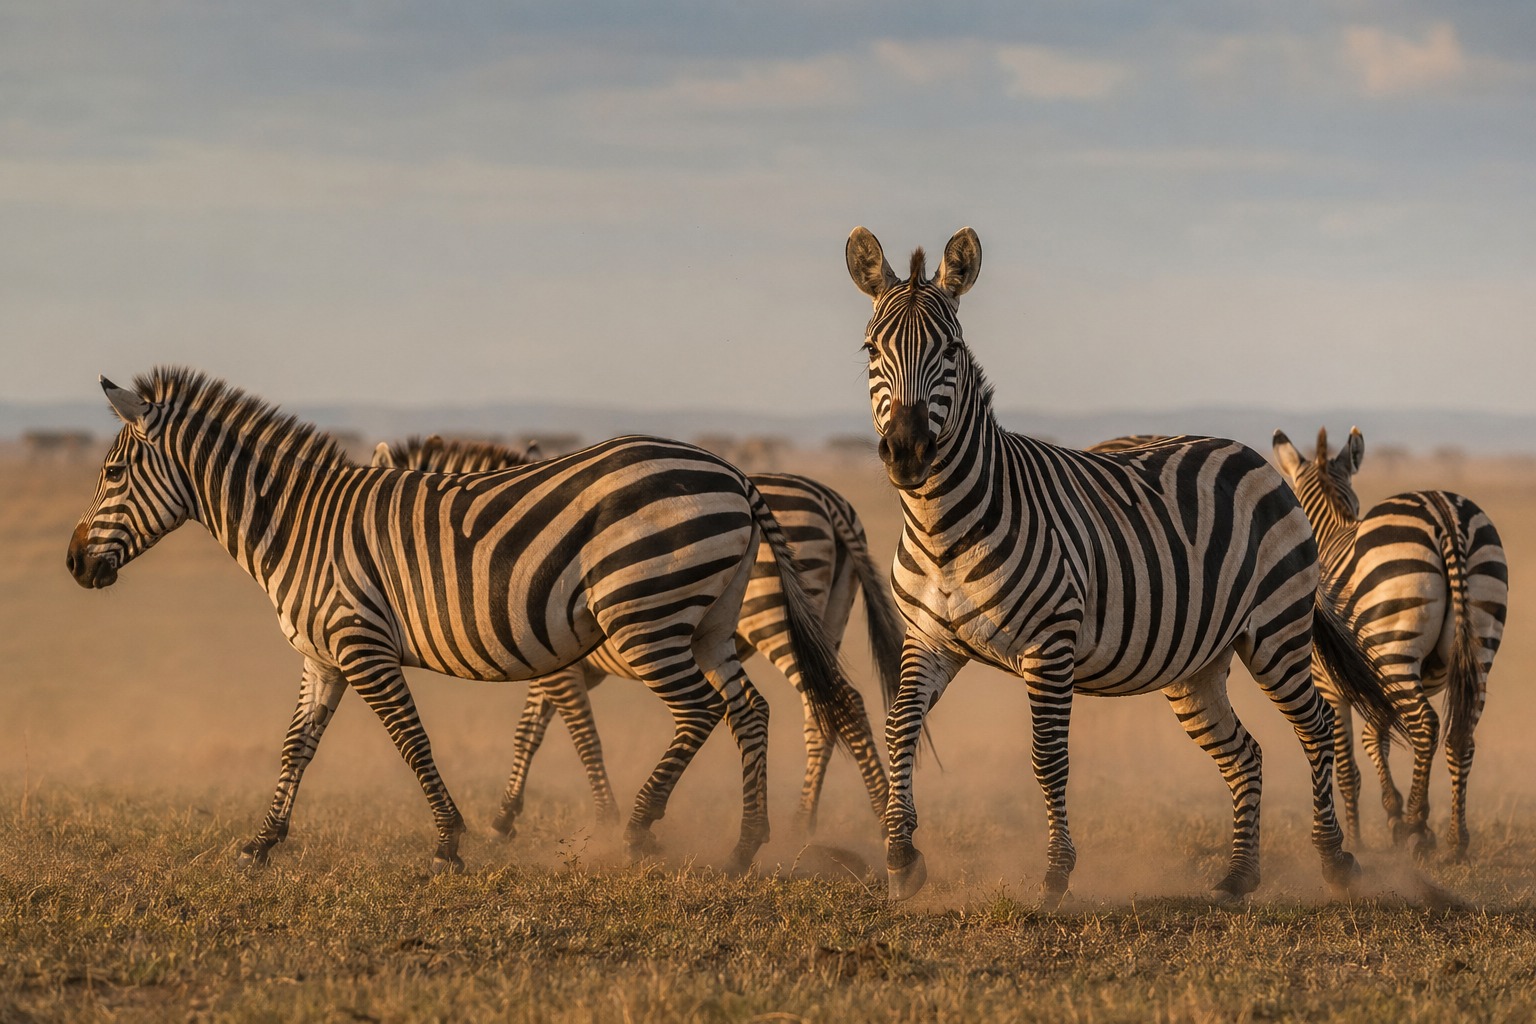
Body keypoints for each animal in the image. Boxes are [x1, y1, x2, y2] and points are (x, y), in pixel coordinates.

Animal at [374, 435, 904, 837]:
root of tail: (830, 500)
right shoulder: (563, 667)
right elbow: (532, 730)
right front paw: (506, 817)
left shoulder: (561, 666)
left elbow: (576, 733)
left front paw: (603, 818)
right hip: (824, 623)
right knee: (831, 709)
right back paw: (818, 821)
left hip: (773, 619)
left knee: (837, 703)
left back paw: (855, 819)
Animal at [844, 227, 1399, 904]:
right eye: (872, 349)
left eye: (949, 350)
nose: (907, 452)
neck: (943, 527)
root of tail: (1252, 455)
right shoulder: (928, 639)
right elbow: (900, 727)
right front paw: (901, 858)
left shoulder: (1050, 644)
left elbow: (1047, 756)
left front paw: (1056, 873)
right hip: (1197, 663)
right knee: (1245, 752)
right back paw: (1239, 875)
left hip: (1275, 631)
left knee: (1316, 726)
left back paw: (1335, 860)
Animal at [1273, 426, 1507, 860]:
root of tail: (1442, 512)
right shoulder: (1375, 687)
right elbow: (1374, 737)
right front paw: (1393, 815)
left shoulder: (1333, 685)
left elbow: (1348, 767)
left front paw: (1363, 837)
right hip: (1480, 645)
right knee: (1459, 734)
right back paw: (1455, 839)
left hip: (1395, 646)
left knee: (1427, 726)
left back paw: (1419, 825)